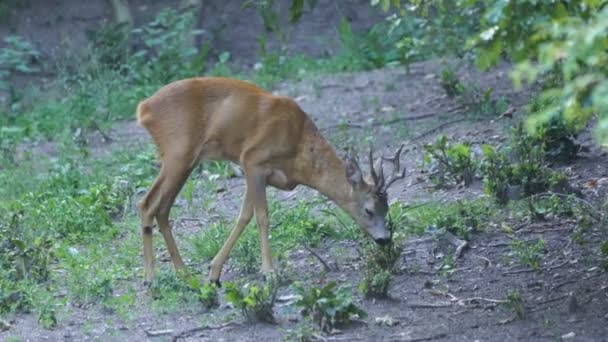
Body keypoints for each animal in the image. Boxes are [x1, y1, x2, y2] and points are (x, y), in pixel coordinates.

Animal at [135, 77, 406, 286]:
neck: (298, 150)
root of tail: (143, 108)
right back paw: (150, 278)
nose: (384, 239)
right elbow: (262, 217)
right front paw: (269, 272)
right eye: (368, 210)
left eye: (386, 208)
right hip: (178, 153)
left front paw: (214, 272)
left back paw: (182, 272)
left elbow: (244, 216)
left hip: (185, 160)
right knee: (147, 203)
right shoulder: (253, 160)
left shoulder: (261, 175)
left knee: (162, 208)